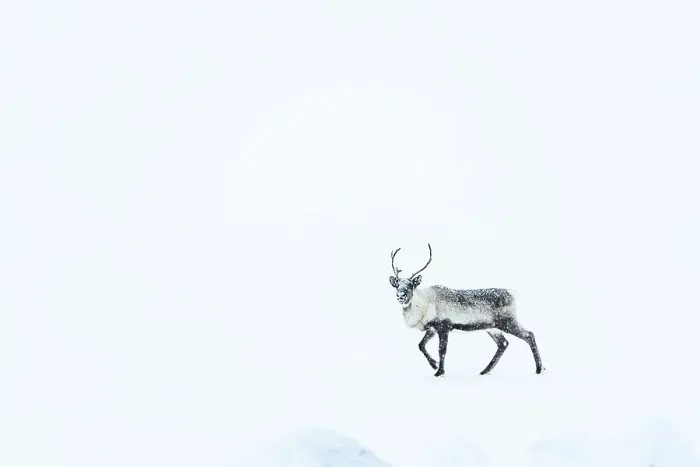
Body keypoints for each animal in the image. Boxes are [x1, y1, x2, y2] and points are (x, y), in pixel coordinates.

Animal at [388, 244, 543, 377]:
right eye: (397, 285)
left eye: (410, 285)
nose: (400, 296)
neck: (424, 305)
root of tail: (512, 294)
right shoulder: (432, 328)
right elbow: (421, 345)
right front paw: (434, 365)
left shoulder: (444, 326)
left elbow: (442, 350)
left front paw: (439, 372)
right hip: (493, 328)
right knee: (503, 344)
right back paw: (484, 371)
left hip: (508, 322)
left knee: (529, 335)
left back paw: (539, 369)